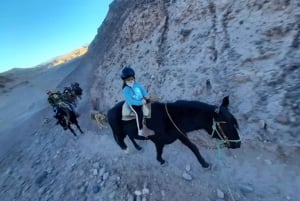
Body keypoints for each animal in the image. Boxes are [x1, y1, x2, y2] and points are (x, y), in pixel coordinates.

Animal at [108, 96, 241, 168]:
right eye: (227, 126)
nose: (238, 144)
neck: (172, 118)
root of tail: (109, 111)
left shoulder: (180, 135)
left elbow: (193, 148)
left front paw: (205, 164)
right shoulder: (159, 141)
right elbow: (159, 151)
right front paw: (161, 161)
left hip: (127, 132)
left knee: (131, 137)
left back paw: (138, 148)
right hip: (119, 132)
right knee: (121, 141)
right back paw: (126, 151)